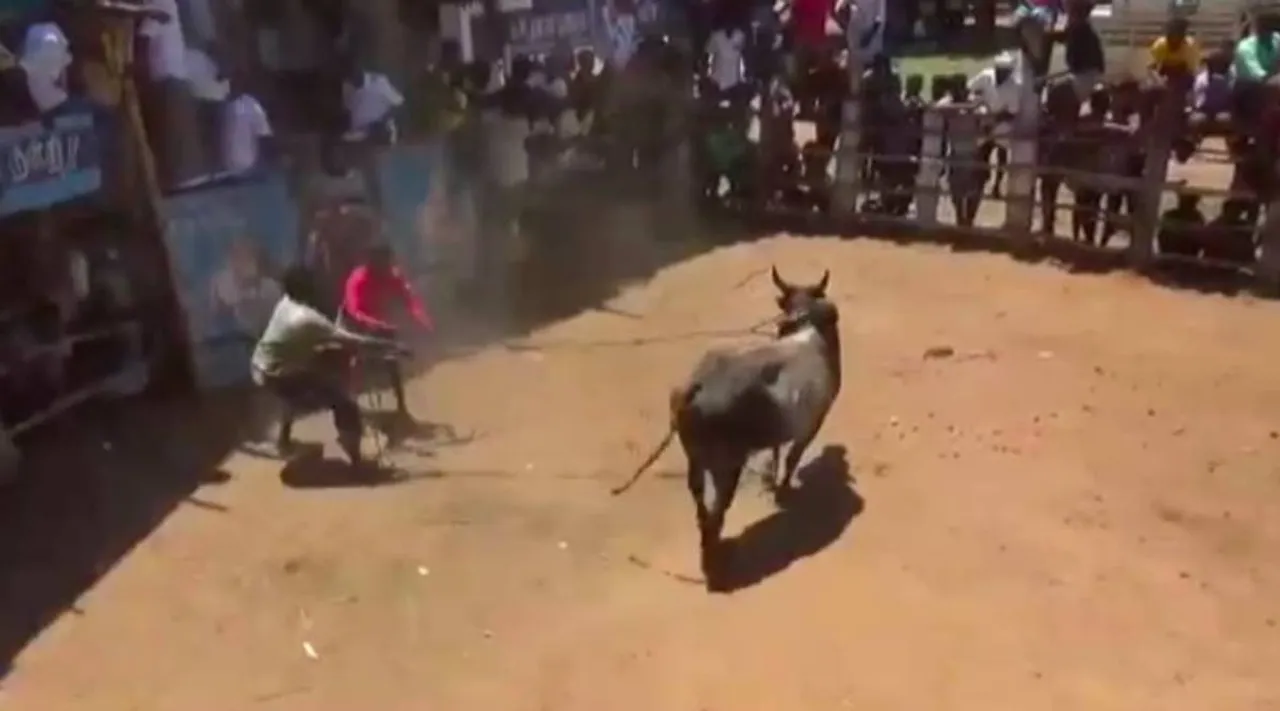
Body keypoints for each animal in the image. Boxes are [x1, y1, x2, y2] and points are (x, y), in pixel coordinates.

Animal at [614, 269, 844, 579]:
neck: (809, 329)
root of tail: (696, 385)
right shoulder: (813, 423)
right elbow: (792, 459)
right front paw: (783, 488)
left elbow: (776, 452)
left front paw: (771, 480)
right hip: (726, 466)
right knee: (718, 510)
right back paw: (717, 550)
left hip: (696, 459)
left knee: (700, 498)